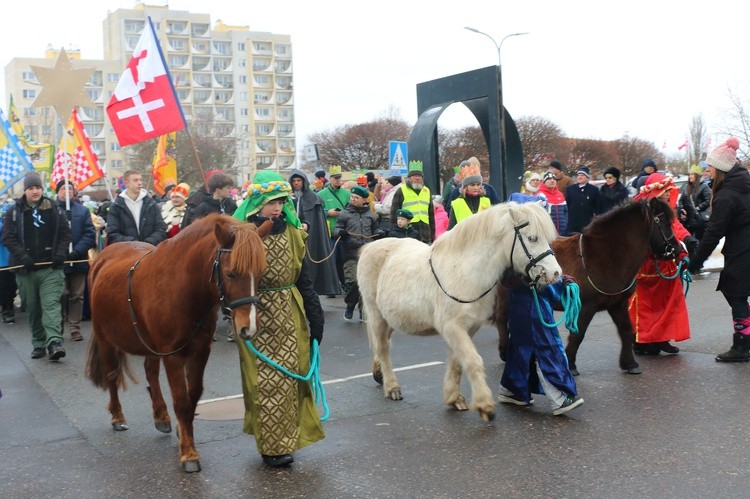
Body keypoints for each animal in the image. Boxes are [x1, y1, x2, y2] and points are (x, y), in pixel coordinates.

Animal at [86, 214, 268, 472]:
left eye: (261, 272)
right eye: (231, 273)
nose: (248, 327)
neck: (183, 288)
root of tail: (101, 258)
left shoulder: (200, 351)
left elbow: (193, 396)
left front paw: (184, 436)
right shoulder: (172, 355)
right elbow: (181, 401)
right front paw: (189, 454)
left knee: (150, 372)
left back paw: (161, 416)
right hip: (105, 339)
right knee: (112, 374)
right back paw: (118, 417)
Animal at [360, 203, 564, 422]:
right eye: (532, 238)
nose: (555, 274)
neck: (464, 271)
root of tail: (369, 247)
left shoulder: (468, 328)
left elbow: (458, 361)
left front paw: (454, 398)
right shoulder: (453, 327)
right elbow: (473, 361)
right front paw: (485, 405)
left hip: (391, 318)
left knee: (382, 344)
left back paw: (378, 373)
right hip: (377, 315)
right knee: (383, 347)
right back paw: (392, 388)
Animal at [496, 197, 680, 376]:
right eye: (664, 222)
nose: (677, 250)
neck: (605, 255)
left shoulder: (617, 305)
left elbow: (626, 331)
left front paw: (629, 363)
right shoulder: (586, 307)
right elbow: (578, 335)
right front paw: (570, 365)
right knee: (502, 322)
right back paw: (506, 352)